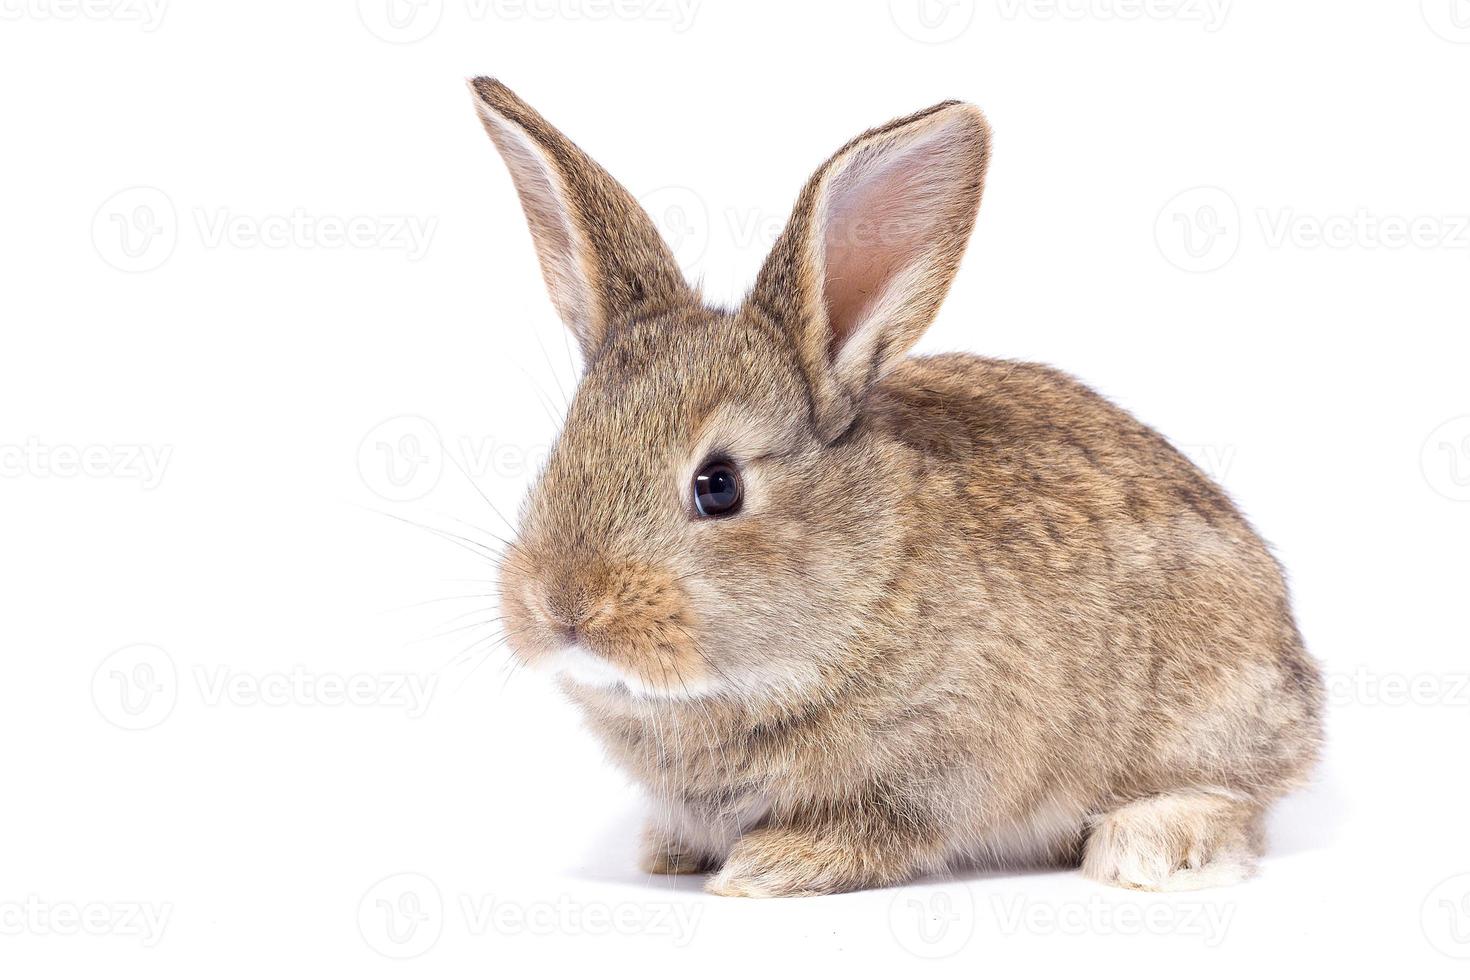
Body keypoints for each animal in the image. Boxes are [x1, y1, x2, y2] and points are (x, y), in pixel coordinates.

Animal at [470, 78, 1323, 899]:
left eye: (719, 486)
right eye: (560, 451)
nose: (563, 606)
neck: (866, 583)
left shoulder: (943, 761)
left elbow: (884, 828)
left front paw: (772, 867)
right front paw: (670, 851)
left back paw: (1146, 846)